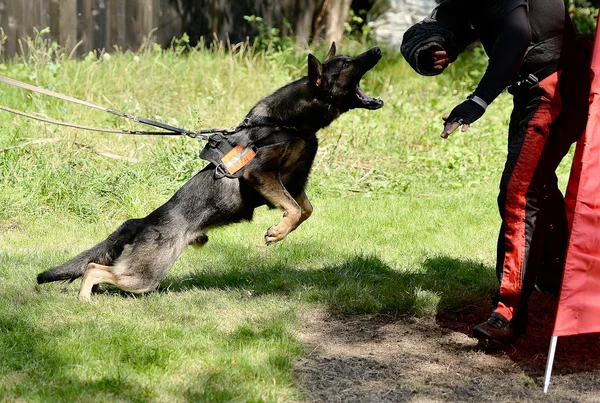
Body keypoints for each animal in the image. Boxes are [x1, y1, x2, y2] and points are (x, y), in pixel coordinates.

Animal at [37, 43, 382, 300]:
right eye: (347, 63)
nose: (378, 49)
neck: (287, 123)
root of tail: (143, 221)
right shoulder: (260, 176)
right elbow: (295, 209)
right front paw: (278, 232)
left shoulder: (293, 183)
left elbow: (305, 210)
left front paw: (282, 230)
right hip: (144, 275)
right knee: (95, 268)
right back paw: (85, 300)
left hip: (142, 274)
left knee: (98, 268)